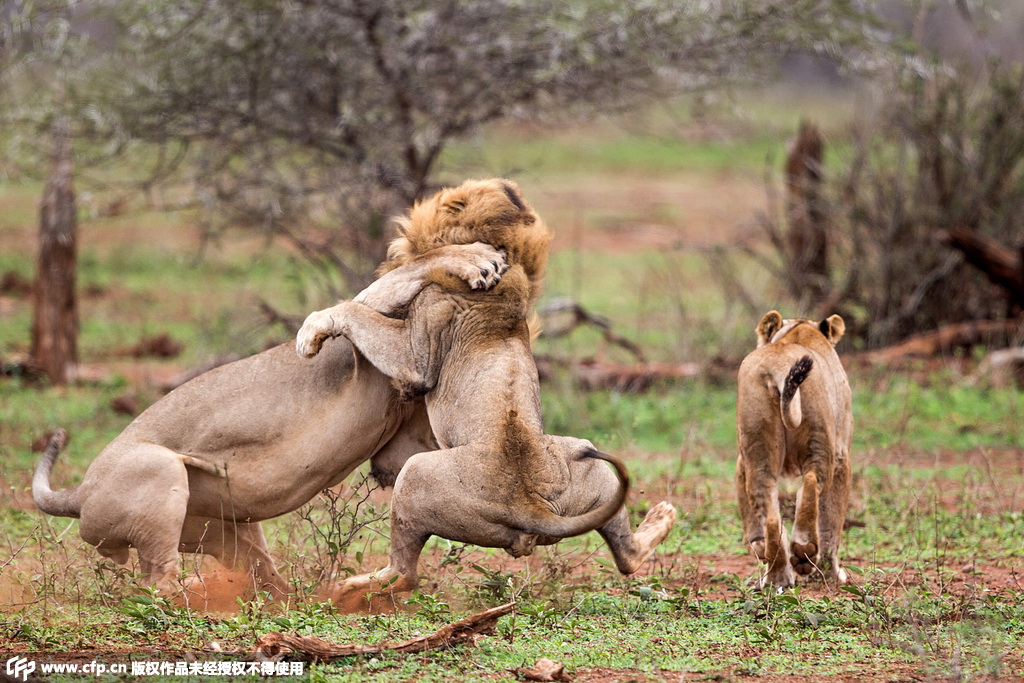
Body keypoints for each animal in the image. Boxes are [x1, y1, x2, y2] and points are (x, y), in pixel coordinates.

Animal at [296, 179, 679, 606]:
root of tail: (532, 508)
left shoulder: (415, 357)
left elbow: (356, 310)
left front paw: (312, 333)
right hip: (590, 466)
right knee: (627, 555)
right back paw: (663, 517)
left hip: (416, 475)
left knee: (405, 573)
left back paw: (349, 588)